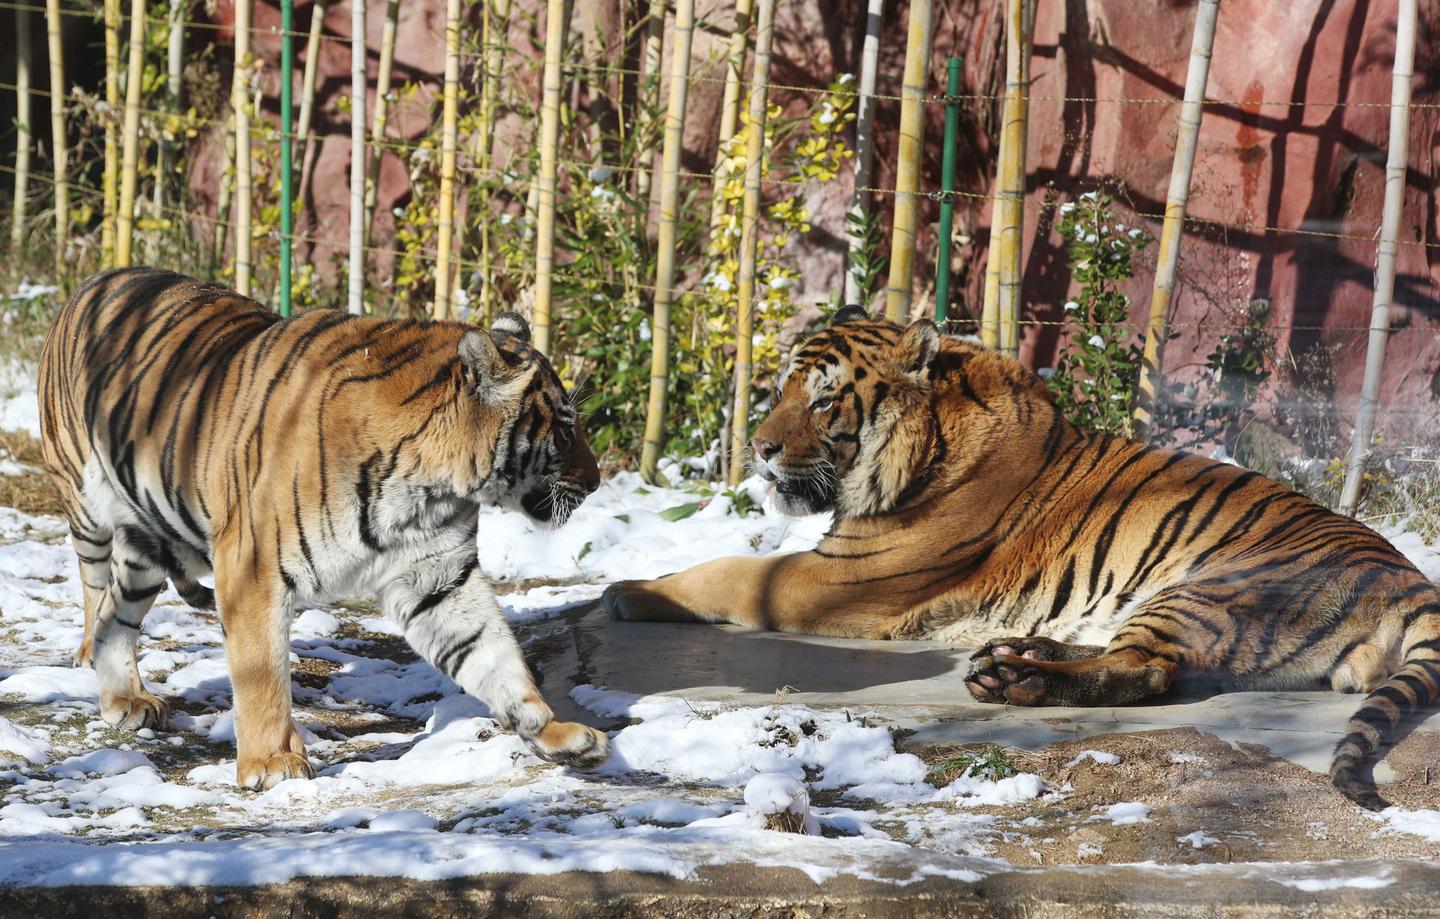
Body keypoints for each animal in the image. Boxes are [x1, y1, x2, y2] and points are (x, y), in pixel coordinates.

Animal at [39, 267, 609, 789]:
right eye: (564, 428)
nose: (598, 480)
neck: (429, 485)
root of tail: (96, 279)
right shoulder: (251, 569)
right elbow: (262, 673)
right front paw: (271, 764)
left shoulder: (437, 578)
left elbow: (492, 652)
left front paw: (554, 731)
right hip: (88, 506)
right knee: (96, 591)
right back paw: (97, 665)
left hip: (154, 535)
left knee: (116, 615)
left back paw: (125, 699)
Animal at [605, 306, 1440, 809]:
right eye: (781, 390)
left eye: (821, 398)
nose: (760, 448)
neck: (930, 441)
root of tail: (1412, 578)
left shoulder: (839, 577)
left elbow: (731, 570)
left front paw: (624, 587)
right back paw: (1013, 652)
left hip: (1209, 584)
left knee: (1148, 668)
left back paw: (1013, 678)